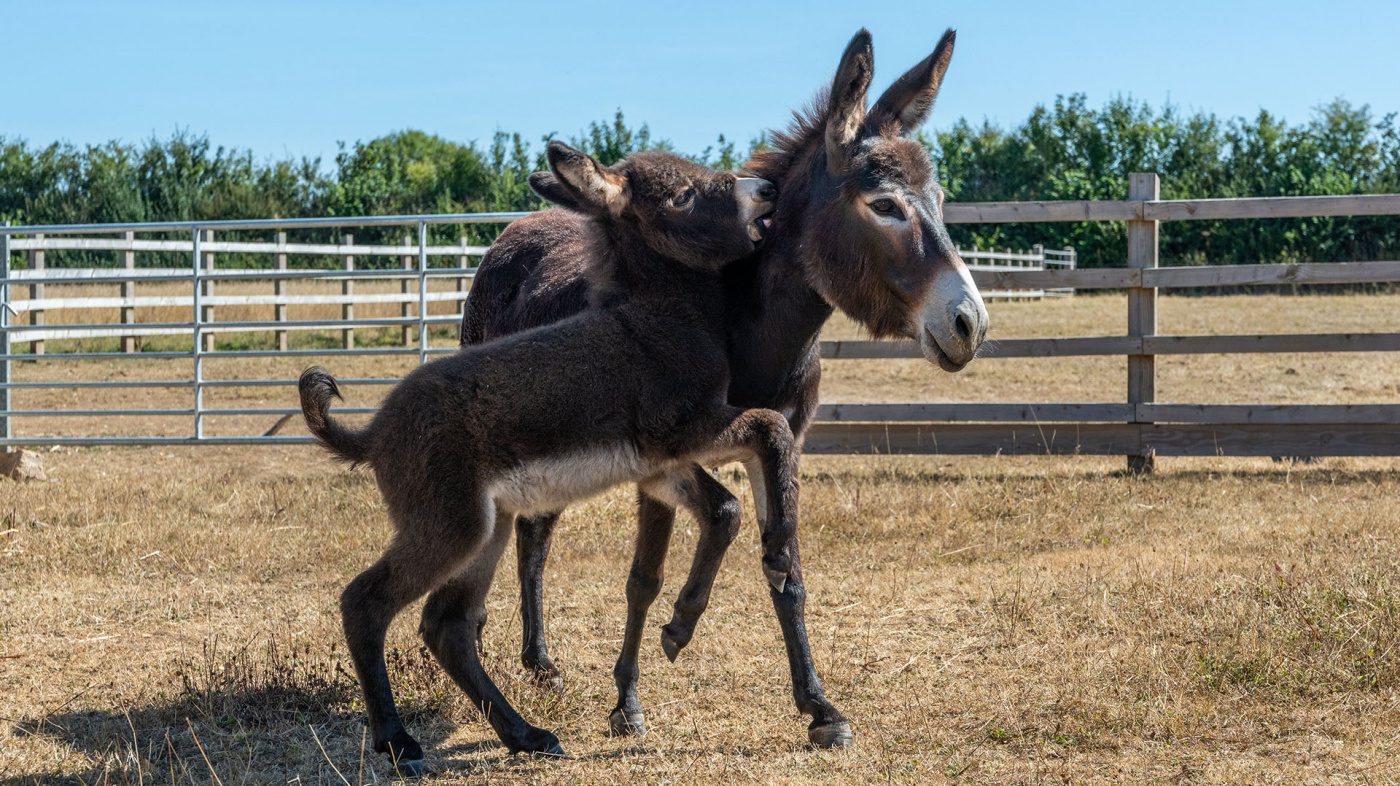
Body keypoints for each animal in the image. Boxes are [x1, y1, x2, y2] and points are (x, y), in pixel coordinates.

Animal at [301, 142, 784, 767]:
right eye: (685, 195)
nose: (767, 191)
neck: (656, 319)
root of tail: (376, 430)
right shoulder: (684, 430)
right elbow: (771, 425)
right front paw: (762, 563)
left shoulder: (663, 463)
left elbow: (725, 508)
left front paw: (682, 622)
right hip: (451, 527)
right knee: (366, 602)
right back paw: (397, 741)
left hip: (488, 526)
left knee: (447, 626)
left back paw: (525, 735)